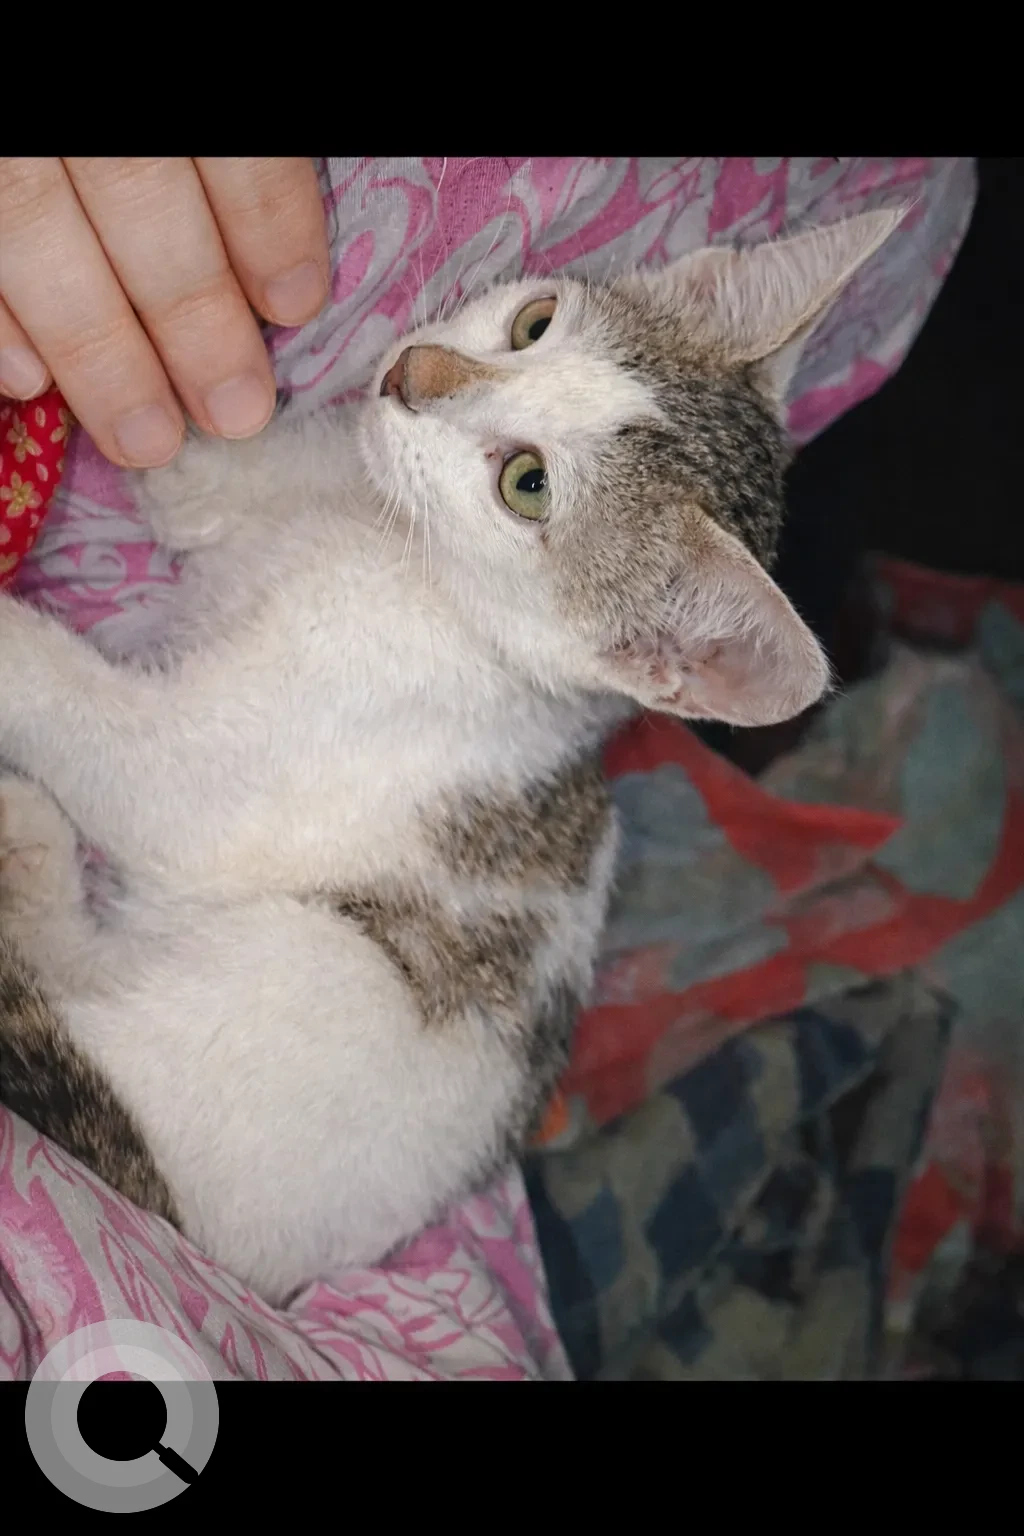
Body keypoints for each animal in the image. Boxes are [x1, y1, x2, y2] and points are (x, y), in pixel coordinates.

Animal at [0, 209, 900, 1305]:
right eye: (534, 322)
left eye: (527, 484)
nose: (413, 372)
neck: (393, 547)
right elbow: (197, 487)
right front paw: (174, 407)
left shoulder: (218, 776)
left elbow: (97, 725)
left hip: (319, 978)